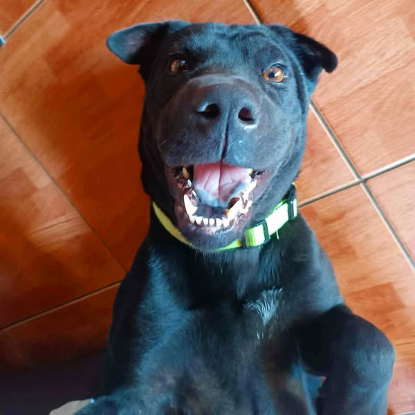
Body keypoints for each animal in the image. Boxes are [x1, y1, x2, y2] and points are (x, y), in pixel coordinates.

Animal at [77, 21, 395, 414]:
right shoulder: (137, 382)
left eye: (275, 72)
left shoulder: (312, 318)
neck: (230, 257)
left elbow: (373, 345)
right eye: (177, 63)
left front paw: (352, 400)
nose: (226, 105)